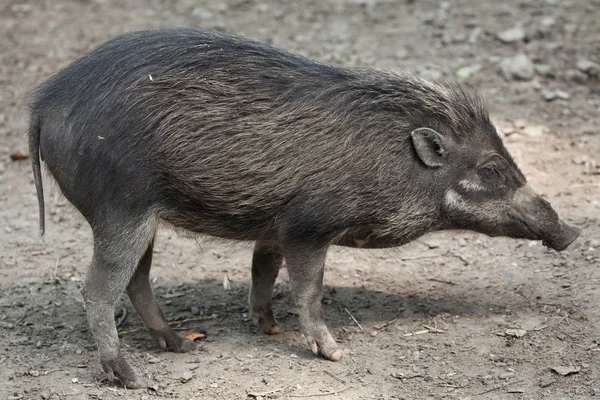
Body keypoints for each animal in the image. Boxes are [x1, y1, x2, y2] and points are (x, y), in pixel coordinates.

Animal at [27, 27, 576, 388]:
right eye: (492, 170)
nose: (571, 233)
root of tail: (43, 103)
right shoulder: (308, 227)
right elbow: (309, 291)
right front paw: (335, 354)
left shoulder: (274, 227)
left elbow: (263, 271)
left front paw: (268, 328)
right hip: (122, 209)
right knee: (98, 290)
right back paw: (134, 378)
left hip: (145, 218)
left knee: (138, 281)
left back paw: (183, 345)